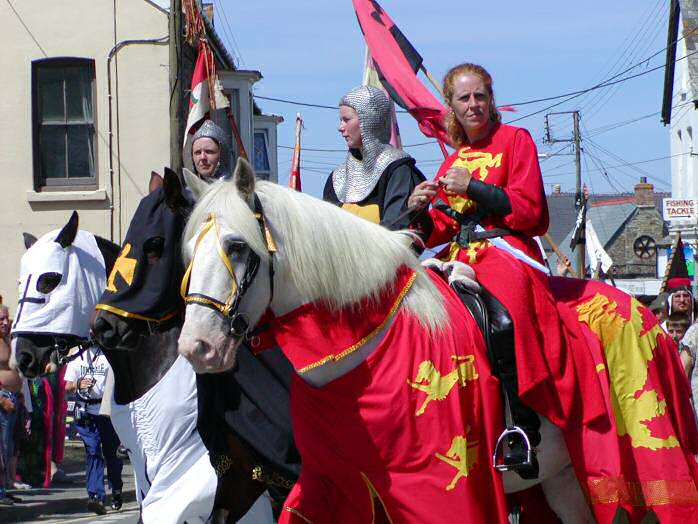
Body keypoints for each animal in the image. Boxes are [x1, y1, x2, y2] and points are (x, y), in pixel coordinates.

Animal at [178, 161, 592, 524]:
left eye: (237, 246)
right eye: (190, 252)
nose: (197, 346)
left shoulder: (433, 489)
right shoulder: (329, 483)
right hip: (562, 481)